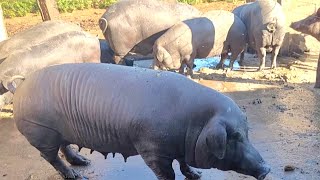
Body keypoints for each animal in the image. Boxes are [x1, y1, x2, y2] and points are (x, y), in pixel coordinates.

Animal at [10, 63, 270, 180]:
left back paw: (83, 162)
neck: (193, 125)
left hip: (58, 131)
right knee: (49, 156)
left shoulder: (177, 148)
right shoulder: (151, 149)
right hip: (41, 131)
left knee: (65, 147)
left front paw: (196, 175)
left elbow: (184, 163)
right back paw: (77, 175)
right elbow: (168, 173)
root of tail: (20, 86)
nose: (267, 168)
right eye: (234, 137)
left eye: (246, 133)